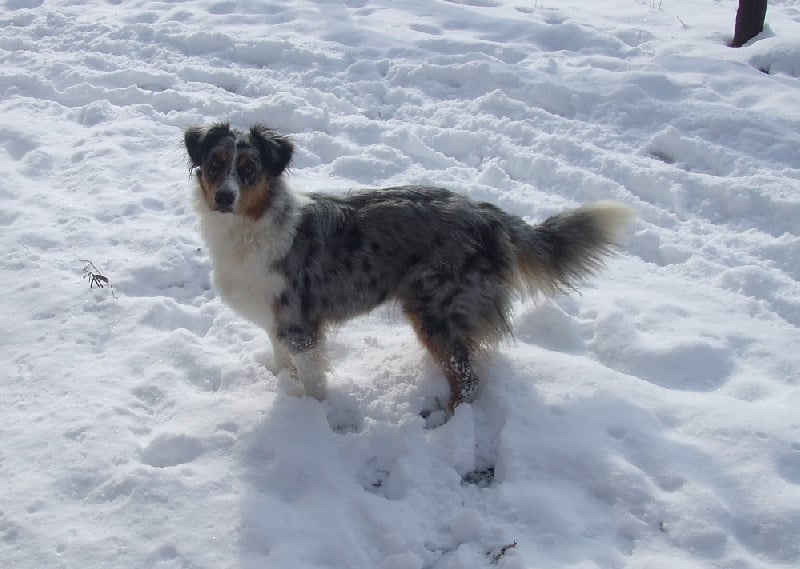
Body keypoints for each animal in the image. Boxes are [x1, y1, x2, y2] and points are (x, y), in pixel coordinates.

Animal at [184, 122, 636, 410]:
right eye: (215, 163)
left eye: (249, 169)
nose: (224, 197)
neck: (250, 227)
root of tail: (490, 215)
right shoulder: (276, 323)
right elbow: (284, 366)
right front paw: (284, 391)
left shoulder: (300, 328)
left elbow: (312, 382)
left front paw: (311, 419)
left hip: (436, 311)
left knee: (466, 382)